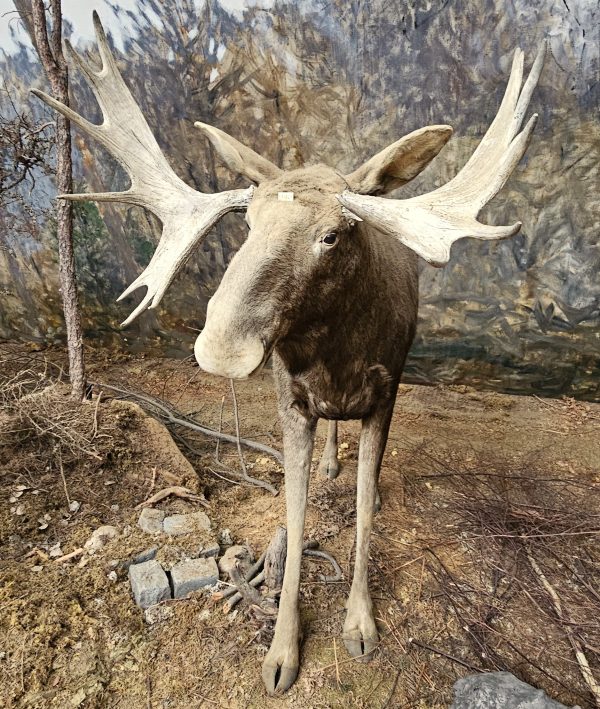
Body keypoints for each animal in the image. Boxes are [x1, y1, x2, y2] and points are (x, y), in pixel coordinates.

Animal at [33, 12, 545, 695]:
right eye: (247, 224)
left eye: (331, 234)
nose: (220, 346)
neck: (338, 360)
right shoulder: (290, 404)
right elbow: (295, 517)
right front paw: (281, 651)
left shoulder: (388, 392)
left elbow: (363, 515)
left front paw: (360, 625)